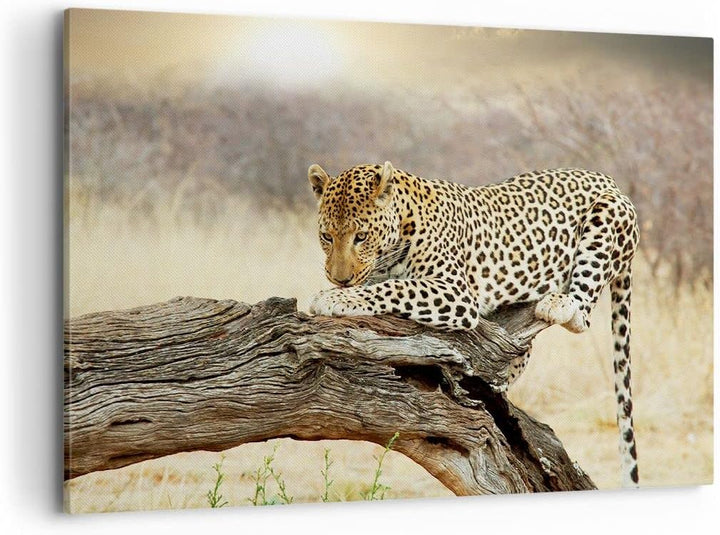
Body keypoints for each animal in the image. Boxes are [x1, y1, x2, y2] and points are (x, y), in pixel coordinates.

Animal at [307, 161, 640, 488]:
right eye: (326, 237)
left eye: (361, 237)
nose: (339, 278)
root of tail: (608, 179)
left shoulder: (455, 291)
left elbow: (395, 288)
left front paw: (334, 298)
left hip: (607, 215)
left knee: (581, 314)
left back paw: (559, 304)